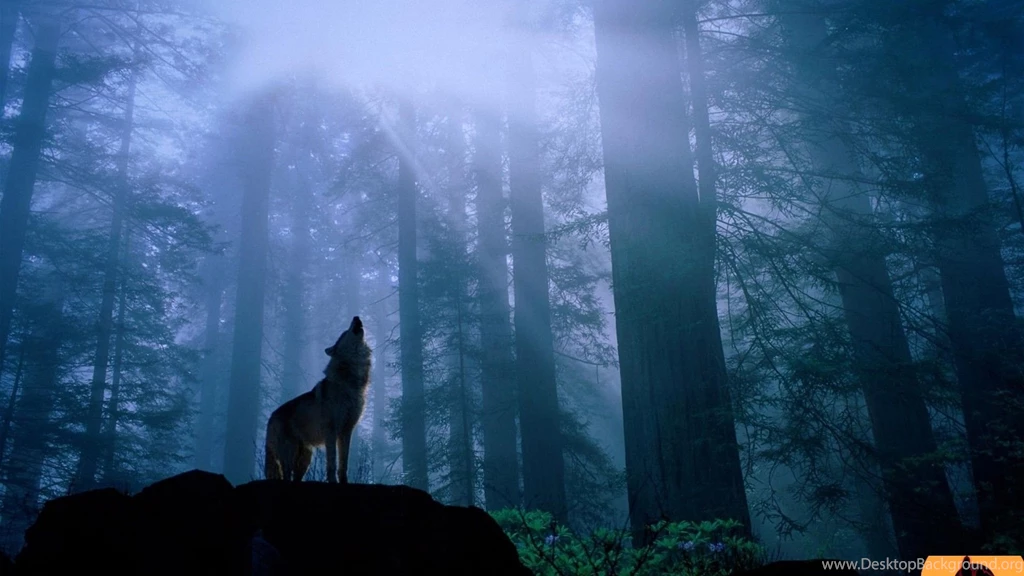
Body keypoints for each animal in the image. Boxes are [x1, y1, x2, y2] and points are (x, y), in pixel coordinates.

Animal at [264, 316, 372, 483]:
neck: (351, 382)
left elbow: (343, 464)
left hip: (305, 459)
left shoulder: (346, 431)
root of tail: (271, 417)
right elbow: (332, 463)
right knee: (286, 476)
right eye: (344, 332)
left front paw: (344, 482)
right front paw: (333, 482)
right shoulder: (331, 432)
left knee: (295, 478)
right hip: (289, 456)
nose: (356, 317)